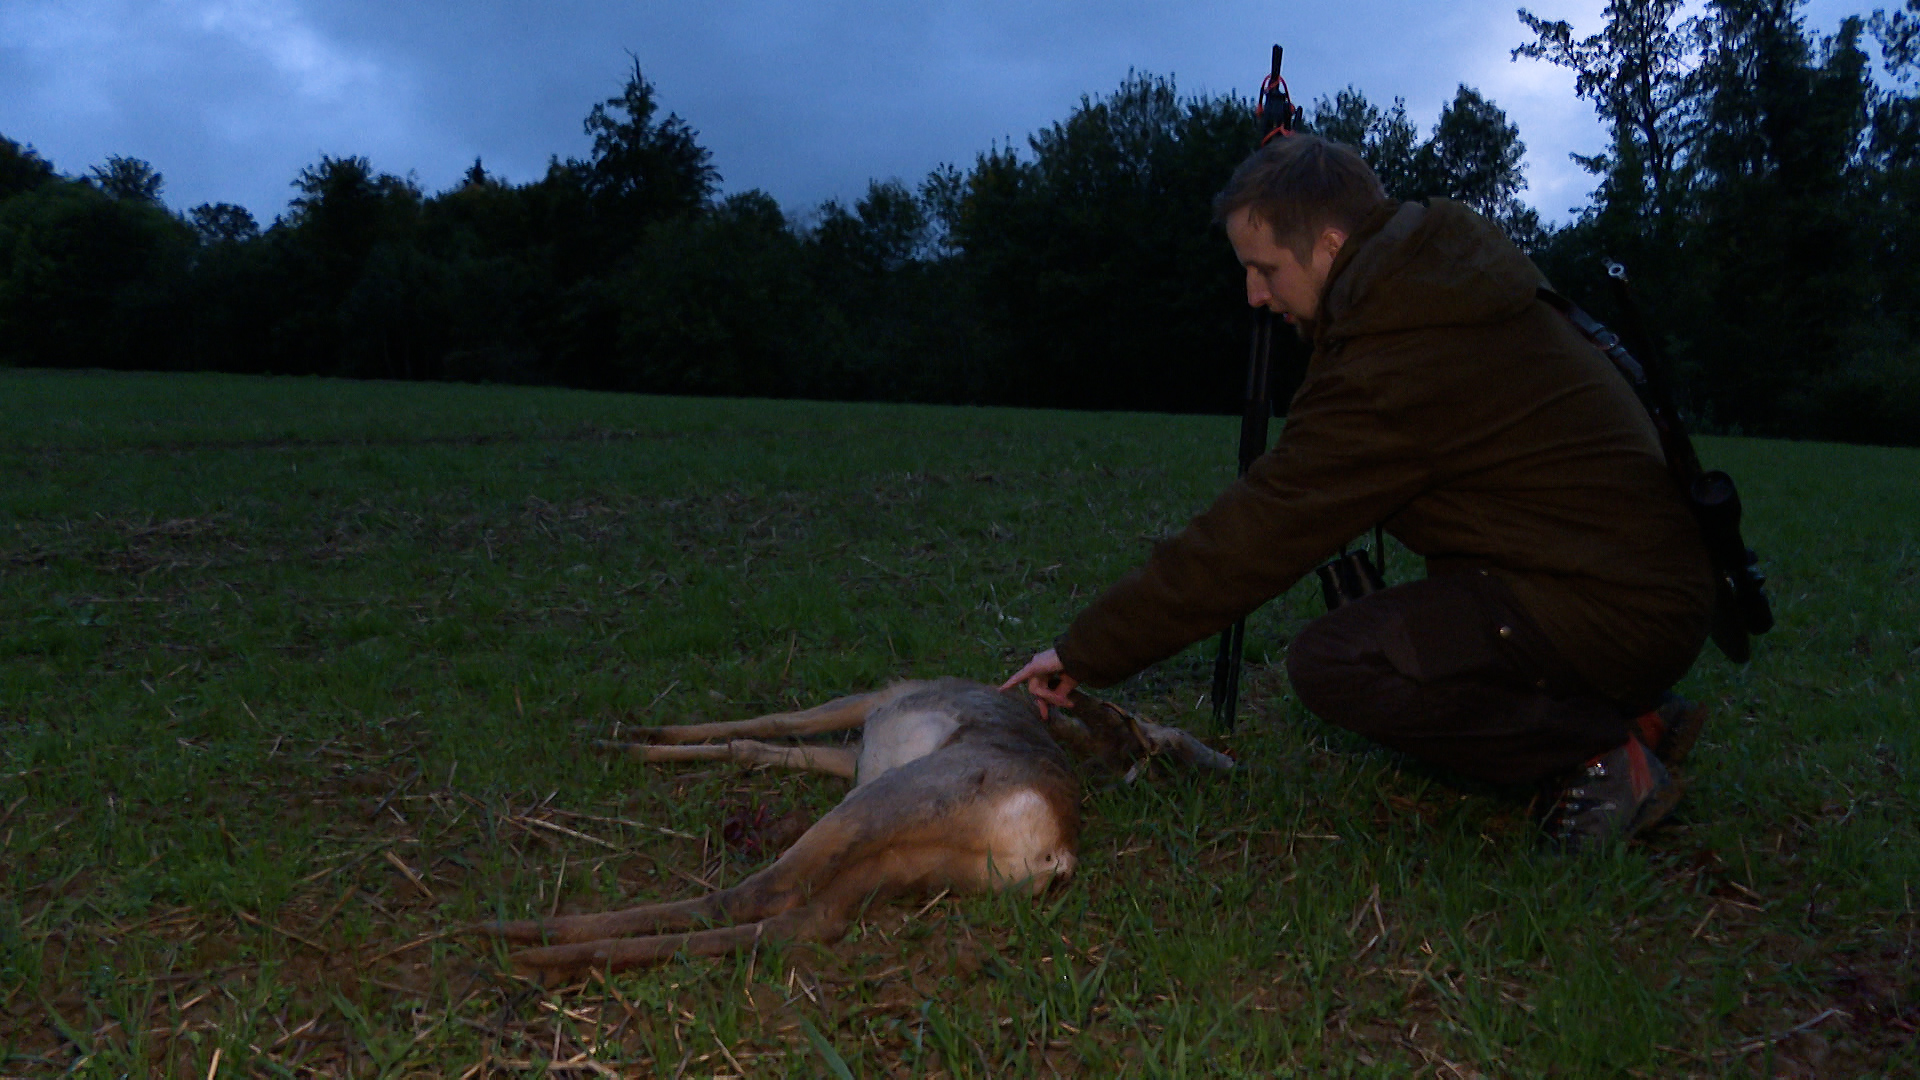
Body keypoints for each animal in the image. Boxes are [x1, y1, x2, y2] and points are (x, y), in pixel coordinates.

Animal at [476, 676, 1228, 980]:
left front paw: (625, 739)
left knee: (761, 892)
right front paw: (639, 736)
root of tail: (1057, 850)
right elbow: (759, 744)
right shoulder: (859, 753)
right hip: (907, 857)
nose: (1140, 741)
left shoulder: (876, 701)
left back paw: (520, 936)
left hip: (889, 803)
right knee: (808, 921)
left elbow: (774, 720)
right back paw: (540, 954)